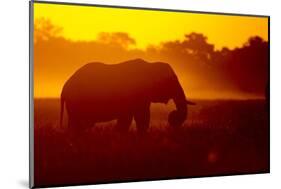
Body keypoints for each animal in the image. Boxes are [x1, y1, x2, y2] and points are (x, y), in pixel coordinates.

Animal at [59, 58, 195, 134]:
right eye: (172, 81)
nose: (172, 120)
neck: (150, 65)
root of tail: (64, 88)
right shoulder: (137, 92)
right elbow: (140, 116)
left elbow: (131, 117)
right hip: (76, 102)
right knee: (78, 123)